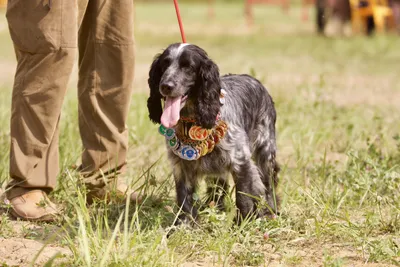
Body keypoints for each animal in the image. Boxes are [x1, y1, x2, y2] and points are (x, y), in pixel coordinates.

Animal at [146, 43, 278, 225]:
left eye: (188, 67)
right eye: (164, 64)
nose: (166, 85)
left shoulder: (240, 160)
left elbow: (244, 197)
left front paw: (241, 224)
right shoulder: (181, 165)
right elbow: (184, 197)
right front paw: (185, 225)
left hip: (265, 150)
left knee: (269, 182)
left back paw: (272, 211)